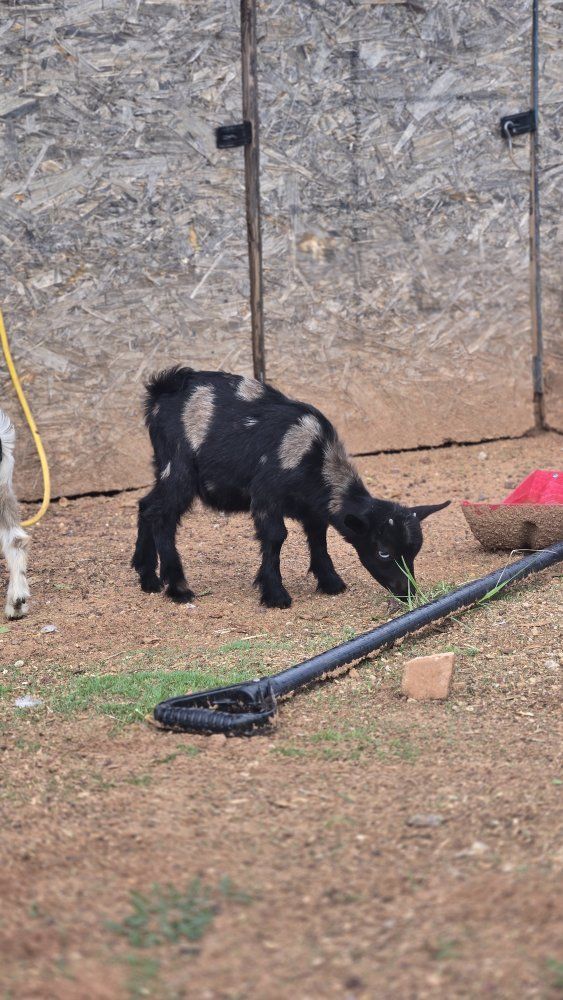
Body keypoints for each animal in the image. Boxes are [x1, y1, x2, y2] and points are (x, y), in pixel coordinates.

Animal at [132, 367, 449, 608]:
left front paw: (331, 582)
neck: (315, 457)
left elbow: (318, 539)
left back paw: (147, 576)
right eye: (383, 551)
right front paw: (275, 594)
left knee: (147, 505)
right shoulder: (265, 496)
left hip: (163, 467)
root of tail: (162, 391)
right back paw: (177, 587)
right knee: (162, 515)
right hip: (179, 467)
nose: (407, 592)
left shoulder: (312, 510)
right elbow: (276, 537)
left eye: (415, 551)